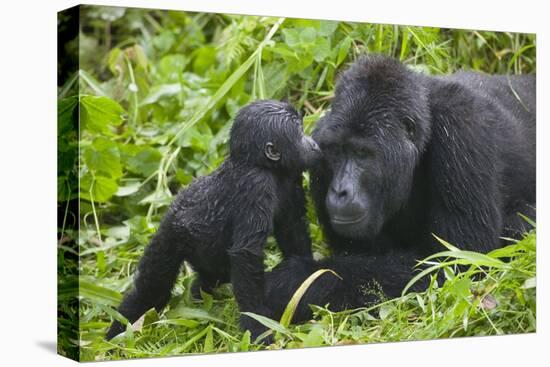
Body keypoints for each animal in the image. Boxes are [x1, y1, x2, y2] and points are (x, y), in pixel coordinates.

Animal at [106, 100, 322, 342]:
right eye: (300, 133)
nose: (313, 143)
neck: (261, 164)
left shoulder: (291, 174)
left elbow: (292, 228)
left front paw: (305, 277)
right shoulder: (256, 185)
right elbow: (246, 254)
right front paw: (257, 324)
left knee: (212, 276)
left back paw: (198, 296)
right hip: (169, 236)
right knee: (152, 290)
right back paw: (117, 333)